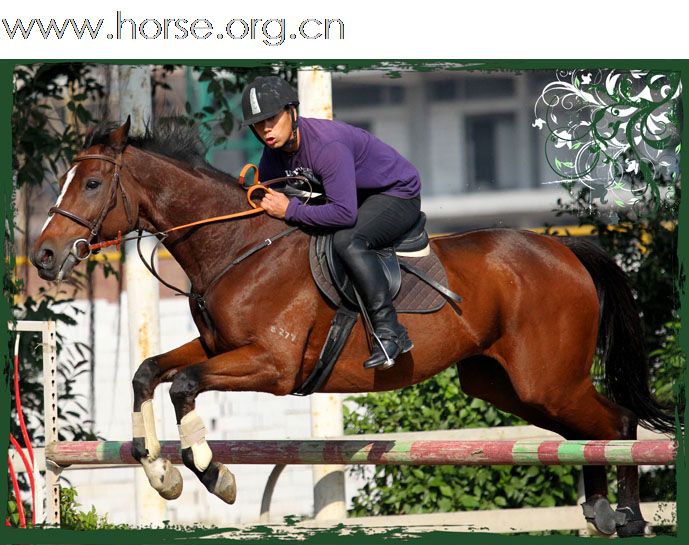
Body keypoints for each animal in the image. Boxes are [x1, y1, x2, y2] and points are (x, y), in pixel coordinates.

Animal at [29, 120, 676, 536]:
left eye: (91, 184)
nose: (43, 257)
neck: (238, 246)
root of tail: (566, 252)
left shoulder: (272, 367)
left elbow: (185, 385)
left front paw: (216, 476)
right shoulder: (219, 348)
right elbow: (148, 373)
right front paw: (161, 474)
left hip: (547, 379)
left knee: (617, 422)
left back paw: (628, 516)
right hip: (508, 384)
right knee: (587, 432)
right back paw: (601, 512)